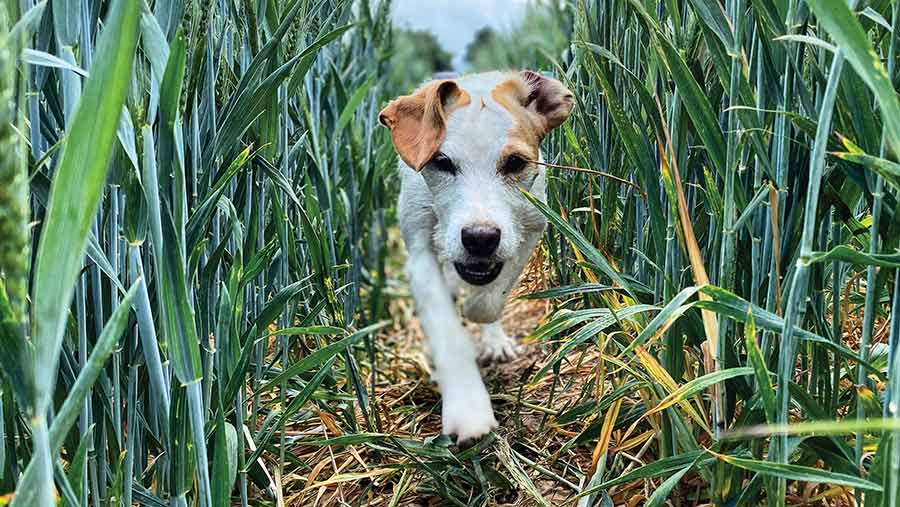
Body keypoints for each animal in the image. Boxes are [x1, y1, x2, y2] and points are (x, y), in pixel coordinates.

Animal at [376, 70, 572, 440]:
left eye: (516, 162)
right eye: (441, 162)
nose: (480, 239)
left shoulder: (530, 230)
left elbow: (491, 298)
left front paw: (479, 312)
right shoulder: (420, 254)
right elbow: (446, 328)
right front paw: (468, 408)